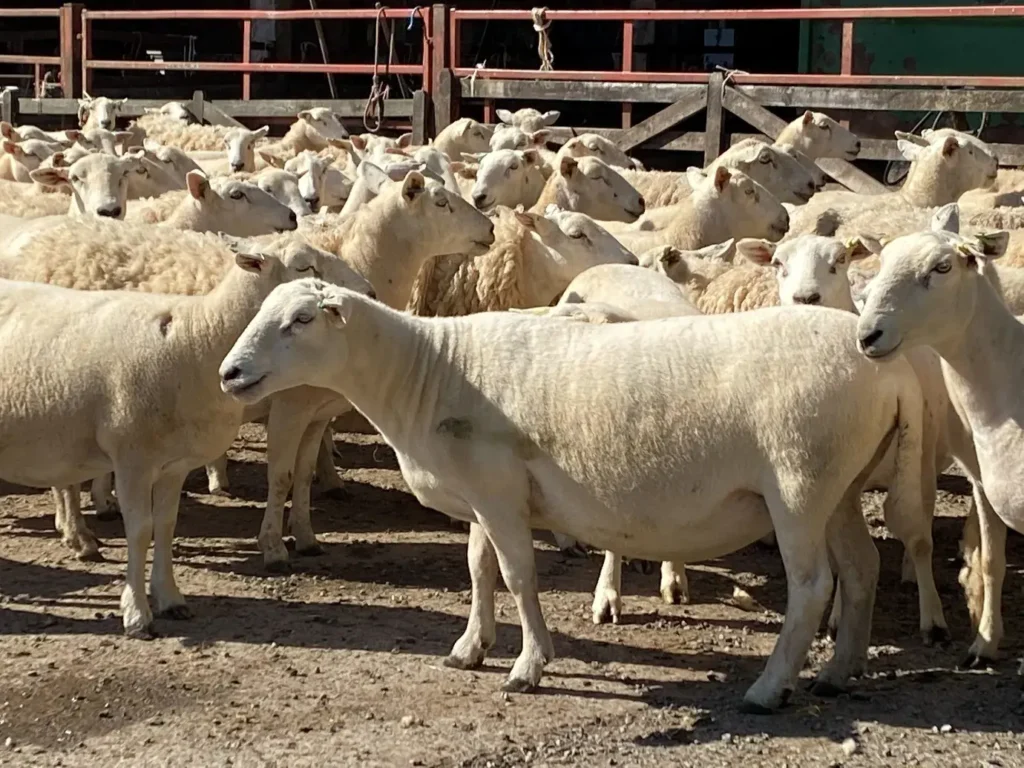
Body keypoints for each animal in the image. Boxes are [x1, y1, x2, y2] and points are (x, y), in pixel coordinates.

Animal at [219, 277, 927, 710]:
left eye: (301, 320)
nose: (229, 373)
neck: (427, 371)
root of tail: (892, 372)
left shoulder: (500, 494)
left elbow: (518, 575)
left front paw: (529, 665)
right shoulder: (485, 492)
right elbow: (477, 569)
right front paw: (470, 649)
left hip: (800, 484)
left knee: (813, 586)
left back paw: (769, 687)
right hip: (841, 485)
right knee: (861, 568)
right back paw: (839, 672)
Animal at [856, 217, 1022, 668]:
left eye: (942, 268)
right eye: (881, 263)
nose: (868, 335)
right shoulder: (983, 484)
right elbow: (992, 562)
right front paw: (984, 643)